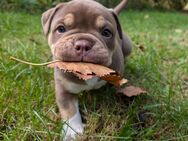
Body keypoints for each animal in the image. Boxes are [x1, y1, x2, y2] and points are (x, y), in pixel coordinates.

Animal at [41, 0, 132, 140]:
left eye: (106, 32)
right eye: (61, 29)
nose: (83, 44)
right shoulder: (64, 90)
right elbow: (70, 110)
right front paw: (72, 132)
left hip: (128, 46)